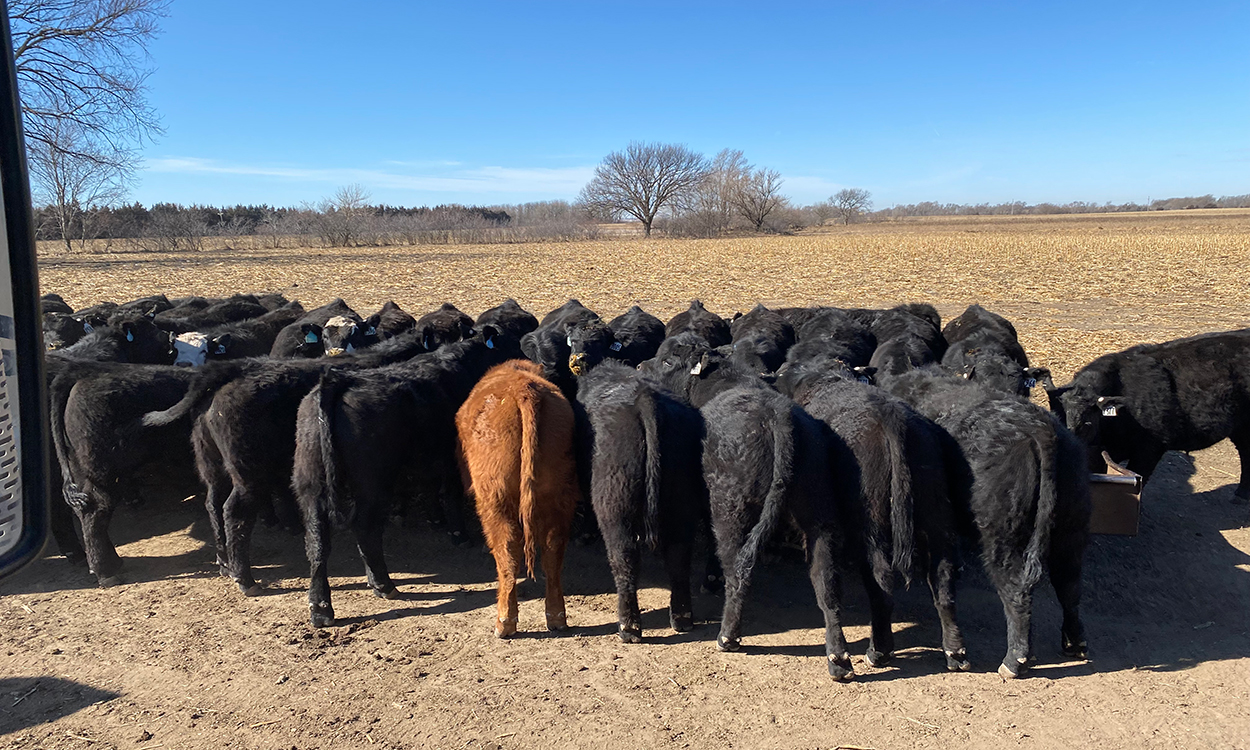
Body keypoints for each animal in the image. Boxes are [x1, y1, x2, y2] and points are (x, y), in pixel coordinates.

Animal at [455, 360, 580, 635]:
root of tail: (523, 388)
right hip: (559, 495)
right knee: (553, 550)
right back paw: (556, 618)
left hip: (496, 499)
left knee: (507, 550)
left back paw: (504, 622)